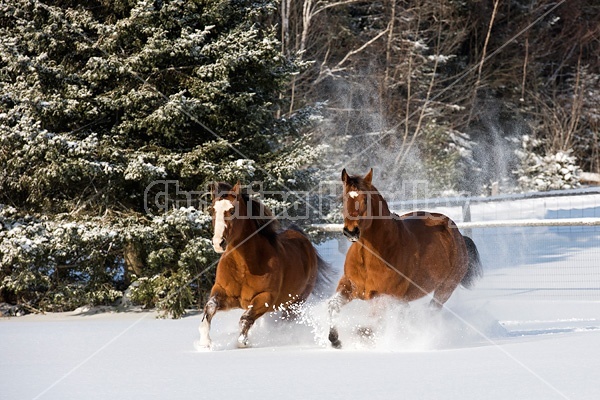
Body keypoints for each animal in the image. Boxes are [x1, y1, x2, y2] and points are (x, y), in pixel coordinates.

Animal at [200, 183, 332, 348]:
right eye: (212, 210)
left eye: (232, 210)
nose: (218, 243)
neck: (244, 267)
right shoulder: (224, 293)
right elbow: (210, 308)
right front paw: (205, 343)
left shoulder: (266, 298)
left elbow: (245, 319)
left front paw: (242, 343)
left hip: (294, 304)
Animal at [328, 167, 482, 348]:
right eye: (343, 198)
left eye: (365, 199)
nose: (351, 231)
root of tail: (458, 235)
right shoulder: (349, 285)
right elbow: (333, 306)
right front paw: (334, 339)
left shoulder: (382, 297)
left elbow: (369, 328)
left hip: (445, 289)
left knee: (430, 312)